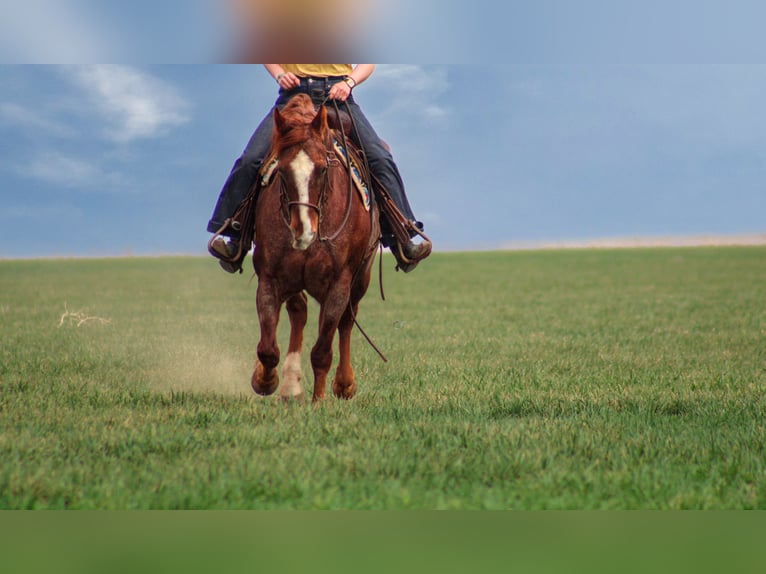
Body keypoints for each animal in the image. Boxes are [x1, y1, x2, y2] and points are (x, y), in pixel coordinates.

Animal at [252, 94, 384, 402]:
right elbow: (268, 348)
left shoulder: (338, 284)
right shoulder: (270, 279)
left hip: (360, 278)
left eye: (323, 168)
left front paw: (318, 402)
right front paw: (265, 380)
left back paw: (344, 384)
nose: (304, 231)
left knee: (346, 321)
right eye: (280, 170)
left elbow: (322, 351)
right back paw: (290, 385)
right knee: (299, 312)